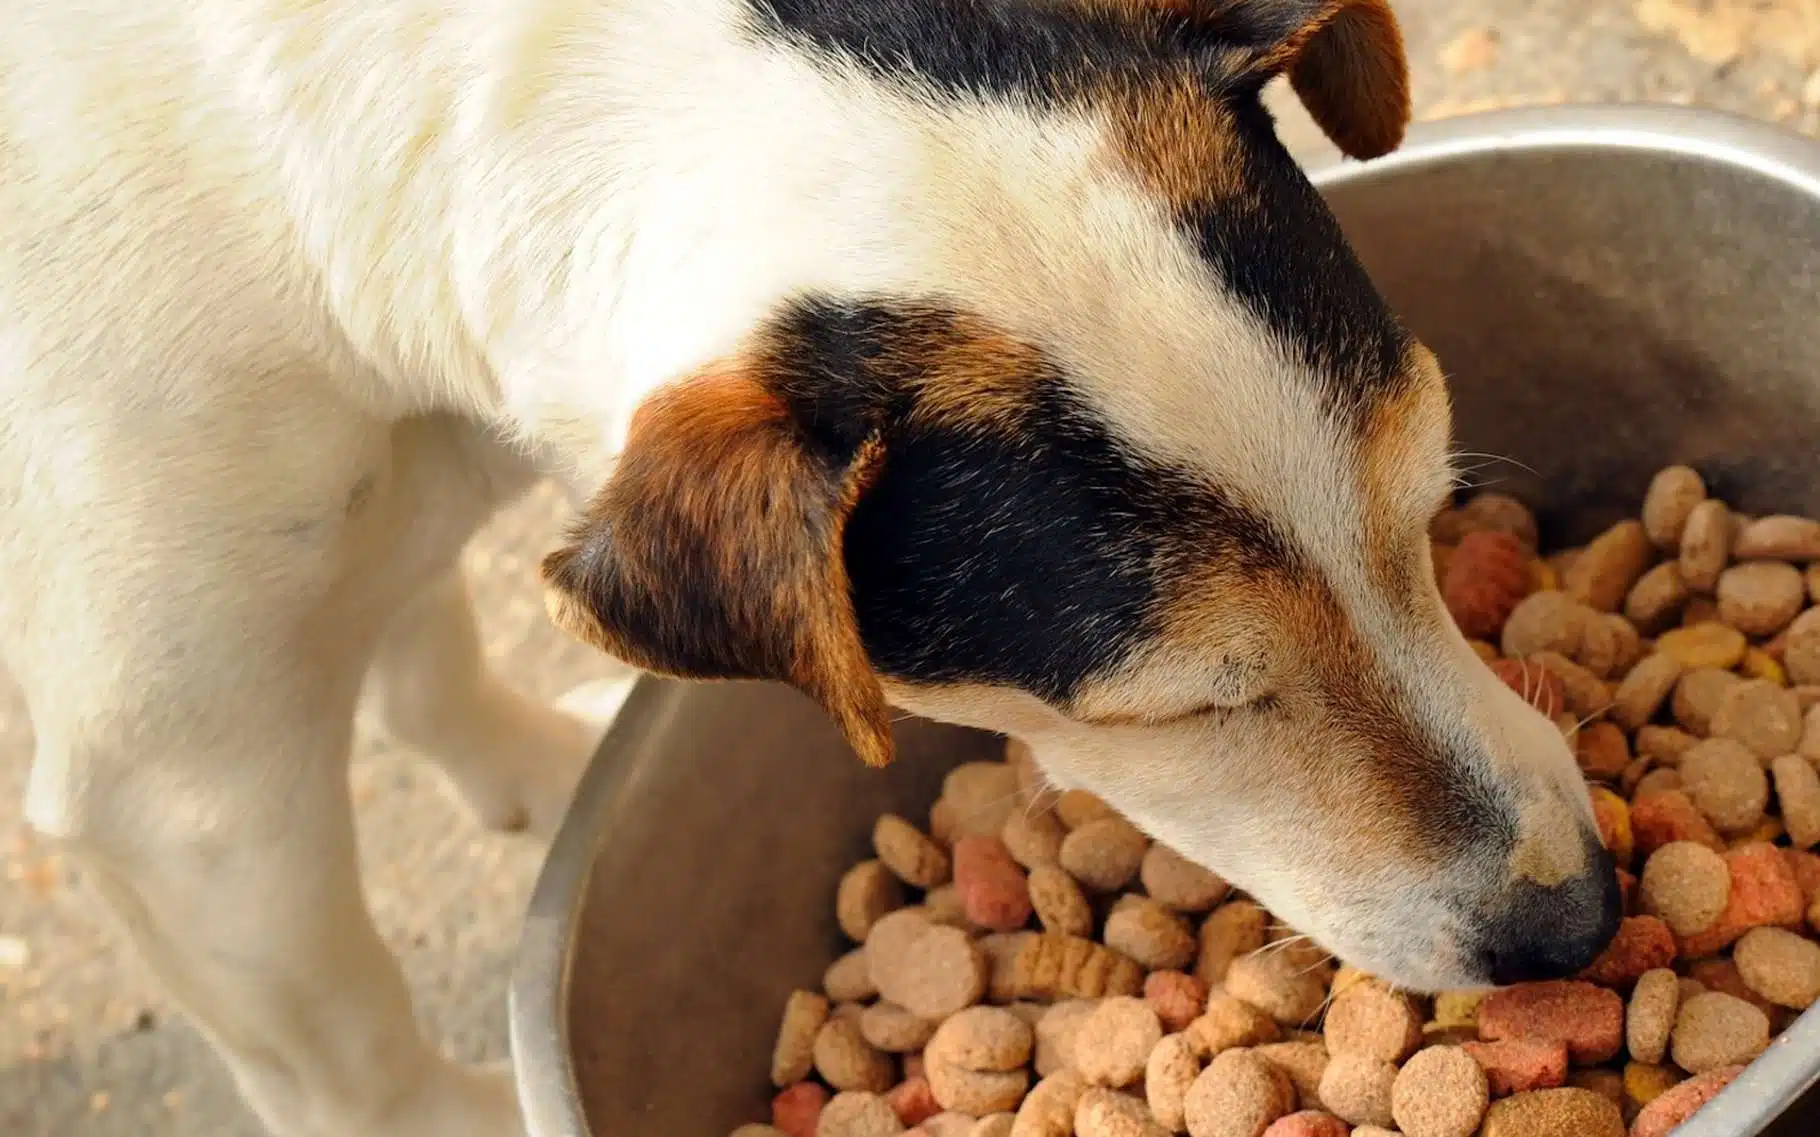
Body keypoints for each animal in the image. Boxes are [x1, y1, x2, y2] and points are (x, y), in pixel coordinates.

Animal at [0, 0, 1623, 1127]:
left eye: (1424, 515)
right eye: (1186, 707)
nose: (1580, 920)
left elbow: (418, 650)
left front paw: (517, 763)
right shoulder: (189, 794)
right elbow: (346, 1042)